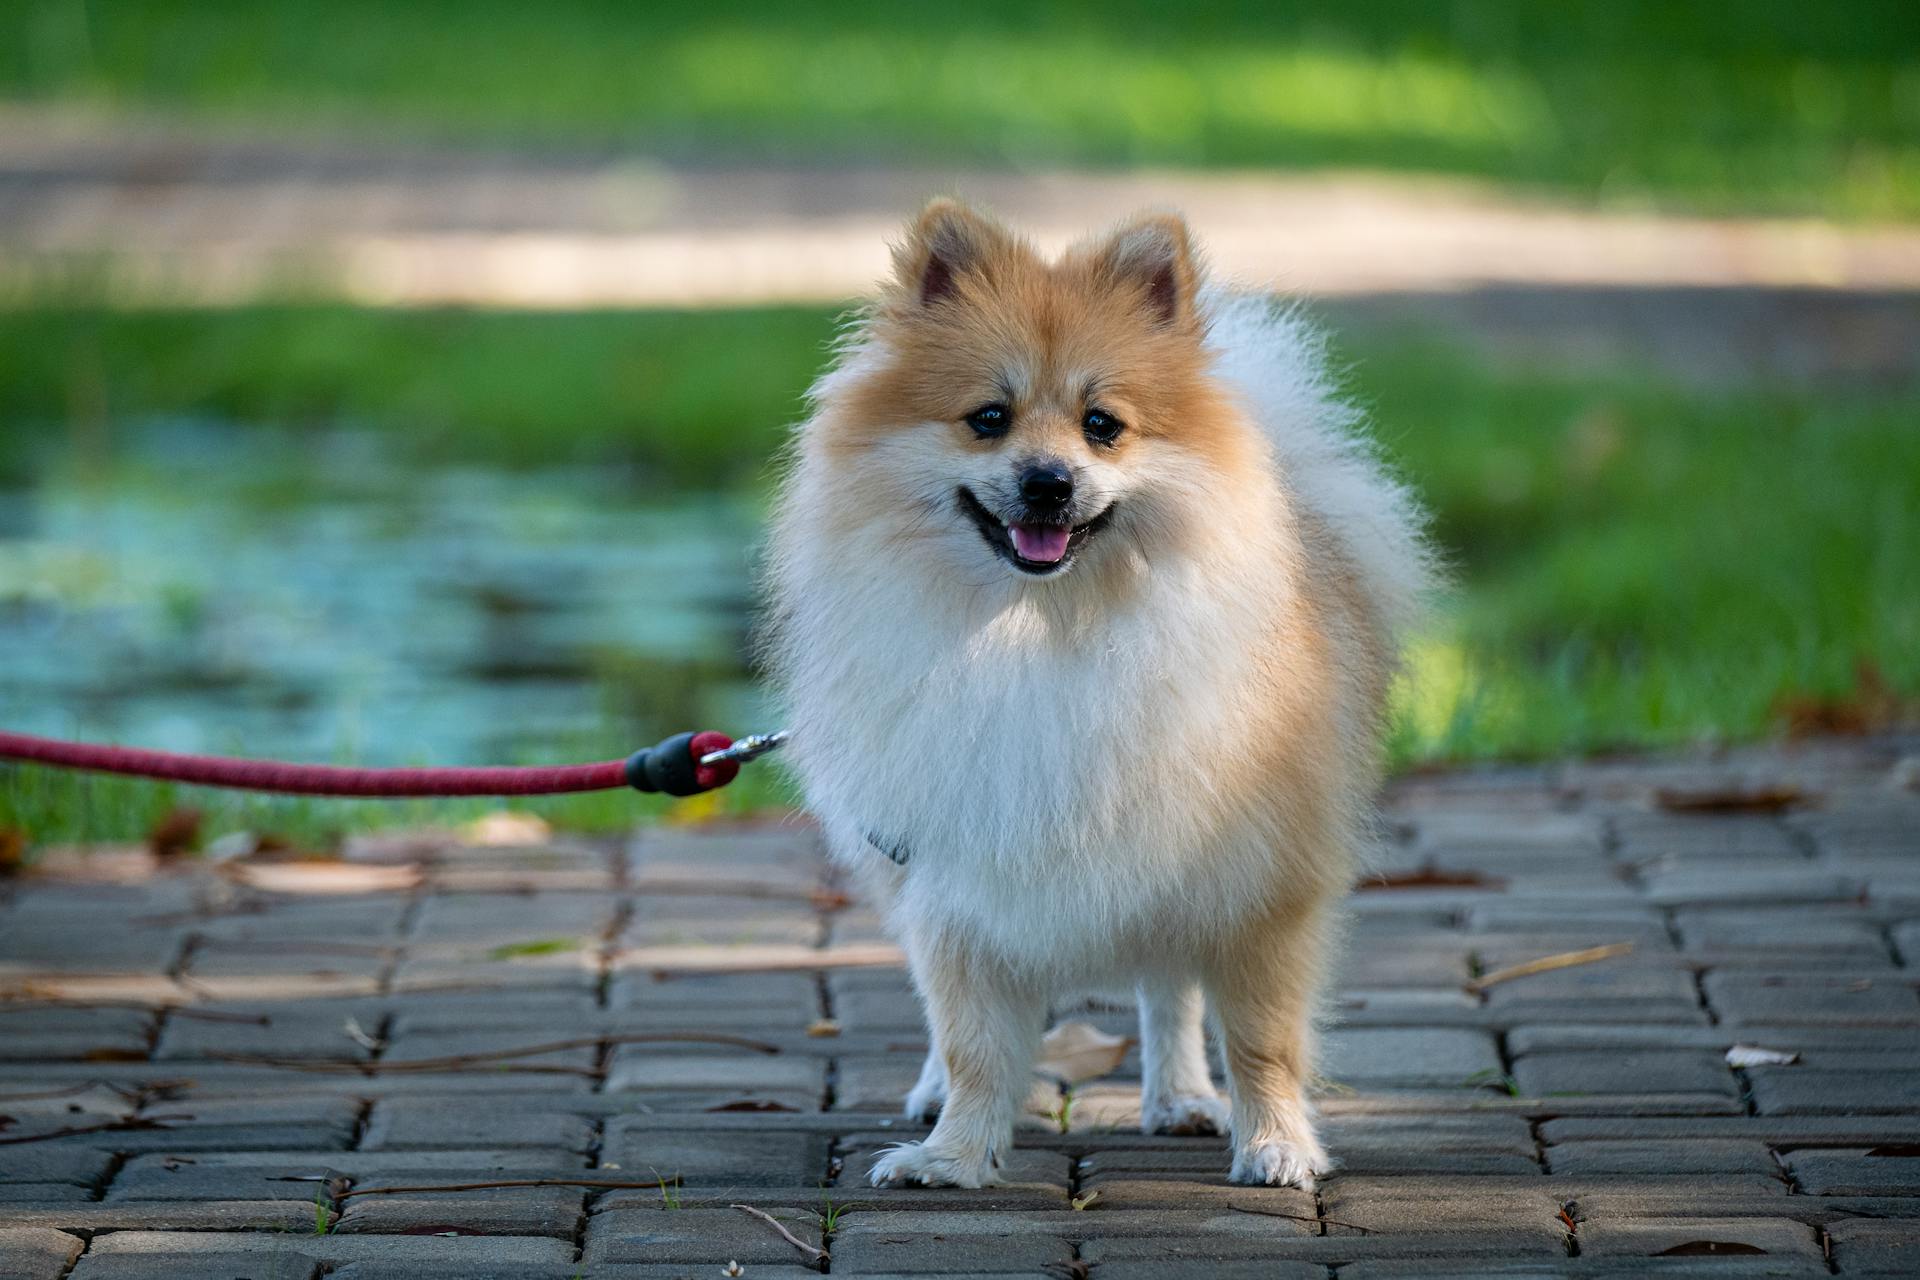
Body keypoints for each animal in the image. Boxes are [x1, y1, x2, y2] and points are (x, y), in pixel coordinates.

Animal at [764, 200, 1428, 1189]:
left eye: (1102, 424)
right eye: (988, 419)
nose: (1049, 480)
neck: (1045, 629)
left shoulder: (1260, 873)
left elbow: (1262, 1037)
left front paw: (1276, 1143)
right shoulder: (957, 869)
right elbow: (970, 1038)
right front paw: (953, 1153)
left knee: (1168, 991)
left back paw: (1182, 1097)